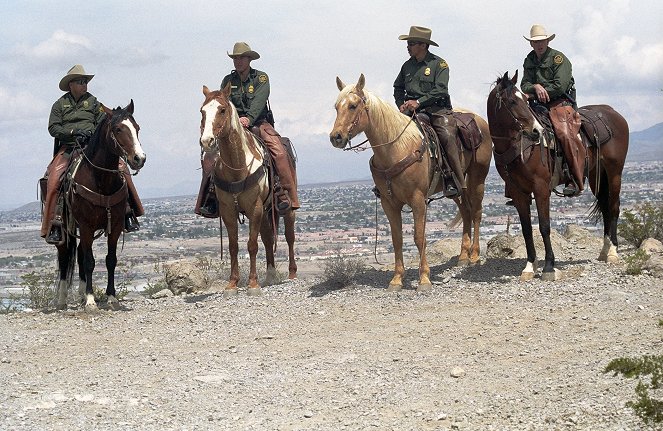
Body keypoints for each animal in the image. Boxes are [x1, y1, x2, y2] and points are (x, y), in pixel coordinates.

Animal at [56, 101, 147, 310]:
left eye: (137, 128)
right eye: (118, 129)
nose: (139, 158)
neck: (101, 180)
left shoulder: (115, 226)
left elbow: (110, 260)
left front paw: (111, 297)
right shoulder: (86, 226)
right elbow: (89, 261)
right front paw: (90, 300)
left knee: (79, 254)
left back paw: (80, 294)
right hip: (64, 230)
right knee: (65, 258)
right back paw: (63, 300)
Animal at [200, 83, 298, 296]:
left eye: (222, 110)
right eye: (202, 111)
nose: (206, 141)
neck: (238, 166)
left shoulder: (255, 208)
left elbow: (252, 245)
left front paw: (253, 284)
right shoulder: (228, 210)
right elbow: (233, 246)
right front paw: (232, 284)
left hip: (287, 208)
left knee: (289, 236)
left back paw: (292, 273)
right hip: (266, 211)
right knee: (268, 239)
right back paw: (270, 275)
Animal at [330, 75, 492, 294]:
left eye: (353, 105)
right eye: (336, 107)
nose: (336, 137)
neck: (396, 148)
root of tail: (478, 120)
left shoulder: (417, 200)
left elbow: (419, 237)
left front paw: (424, 279)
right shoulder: (389, 204)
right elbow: (397, 239)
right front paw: (397, 279)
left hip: (477, 178)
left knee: (476, 212)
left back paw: (474, 255)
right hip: (456, 187)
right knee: (466, 211)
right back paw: (463, 256)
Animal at [490, 71, 632, 280]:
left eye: (524, 99)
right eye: (512, 101)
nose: (537, 131)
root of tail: (614, 113)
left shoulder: (541, 188)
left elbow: (544, 226)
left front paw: (549, 266)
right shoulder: (518, 193)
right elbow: (526, 229)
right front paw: (530, 266)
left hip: (615, 172)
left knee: (614, 207)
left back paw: (613, 252)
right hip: (597, 175)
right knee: (606, 206)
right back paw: (605, 250)